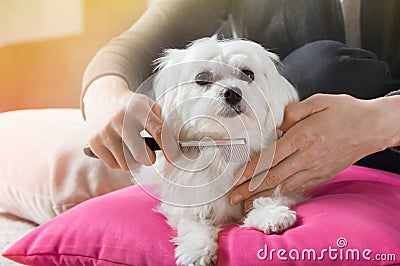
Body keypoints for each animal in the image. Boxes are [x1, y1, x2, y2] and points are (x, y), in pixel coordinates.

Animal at [138, 38, 300, 266]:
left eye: (248, 74)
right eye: (202, 78)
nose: (232, 93)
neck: (226, 143)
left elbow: (268, 195)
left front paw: (270, 214)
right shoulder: (185, 201)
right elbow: (192, 224)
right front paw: (196, 249)